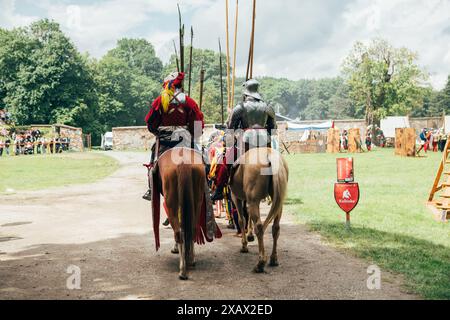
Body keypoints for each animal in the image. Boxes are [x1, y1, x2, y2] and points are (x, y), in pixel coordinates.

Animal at [154, 148, 205, 280]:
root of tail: (183, 162)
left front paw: (175, 248)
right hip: (197, 200)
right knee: (192, 229)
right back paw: (191, 259)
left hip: (171, 202)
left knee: (178, 233)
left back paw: (182, 270)